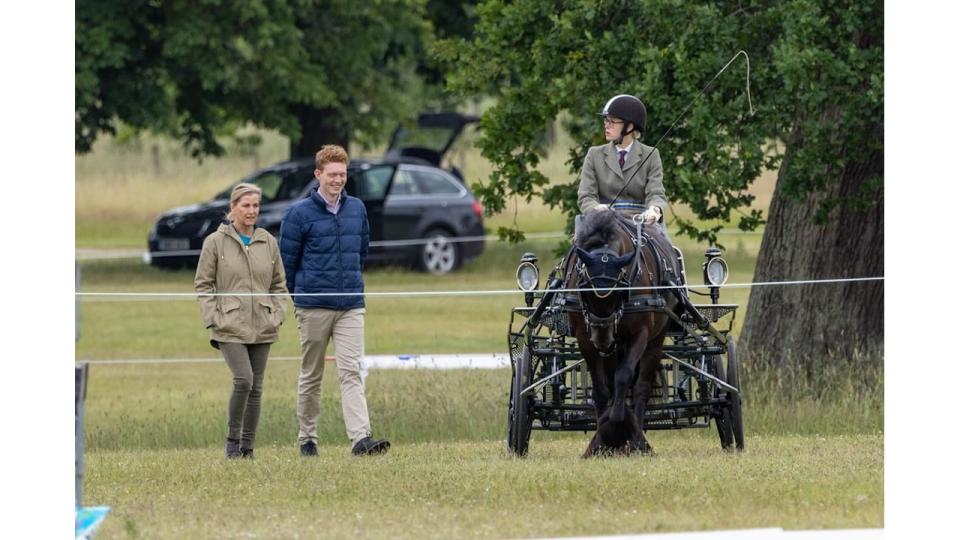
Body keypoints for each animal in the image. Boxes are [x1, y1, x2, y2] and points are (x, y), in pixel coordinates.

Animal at [568, 209, 688, 458]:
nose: (603, 339)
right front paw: (599, 441)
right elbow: (601, 388)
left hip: (655, 339)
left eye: (620, 291)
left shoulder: (639, 334)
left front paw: (616, 429)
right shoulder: (585, 338)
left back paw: (637, 440)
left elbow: (624, 376)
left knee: (641, 387)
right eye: (584, 288)